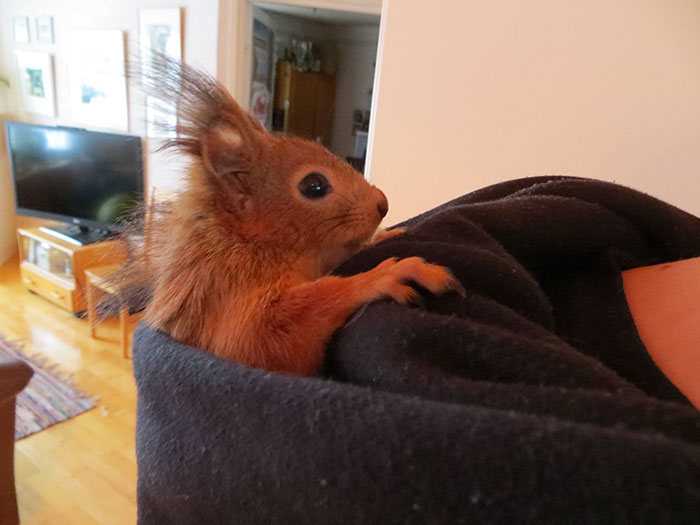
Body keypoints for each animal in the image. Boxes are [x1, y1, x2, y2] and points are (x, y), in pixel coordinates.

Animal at [112, 58, 464, 376]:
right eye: (314, 185)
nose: (383, 204)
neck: (251, 242)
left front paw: (384, 236)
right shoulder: (226, 298)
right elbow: (281, 324)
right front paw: (385, 275)